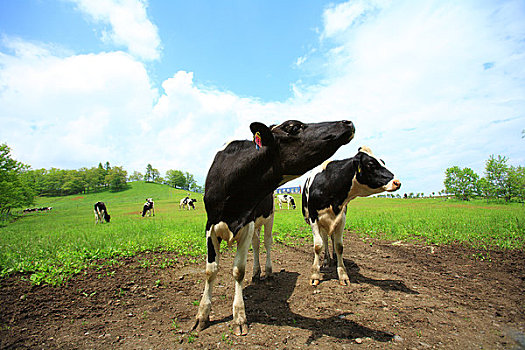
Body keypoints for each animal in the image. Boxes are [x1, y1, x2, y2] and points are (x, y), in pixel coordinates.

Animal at [190, 119, 354, 334]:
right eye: (294, 127)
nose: (347, 122)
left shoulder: (247, 223)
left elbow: (238, 271)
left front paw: (239, 316)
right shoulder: (210, 226)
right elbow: (211, 270)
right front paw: (202, 314)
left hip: (268, 219)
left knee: (266, 243)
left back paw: (267, 272)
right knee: (257, 245)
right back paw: (256, 272)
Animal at [300, 146, 400, 286]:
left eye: (382, 162)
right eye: (371, 164)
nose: (397, 182)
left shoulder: (341, 218)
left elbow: (339, 246)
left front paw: (342, 275)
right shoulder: (314, 218)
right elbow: (318, 245)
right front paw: (315, 274)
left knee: (331, 239)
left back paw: (333, 258)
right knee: (325, 239)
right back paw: (326, 261)